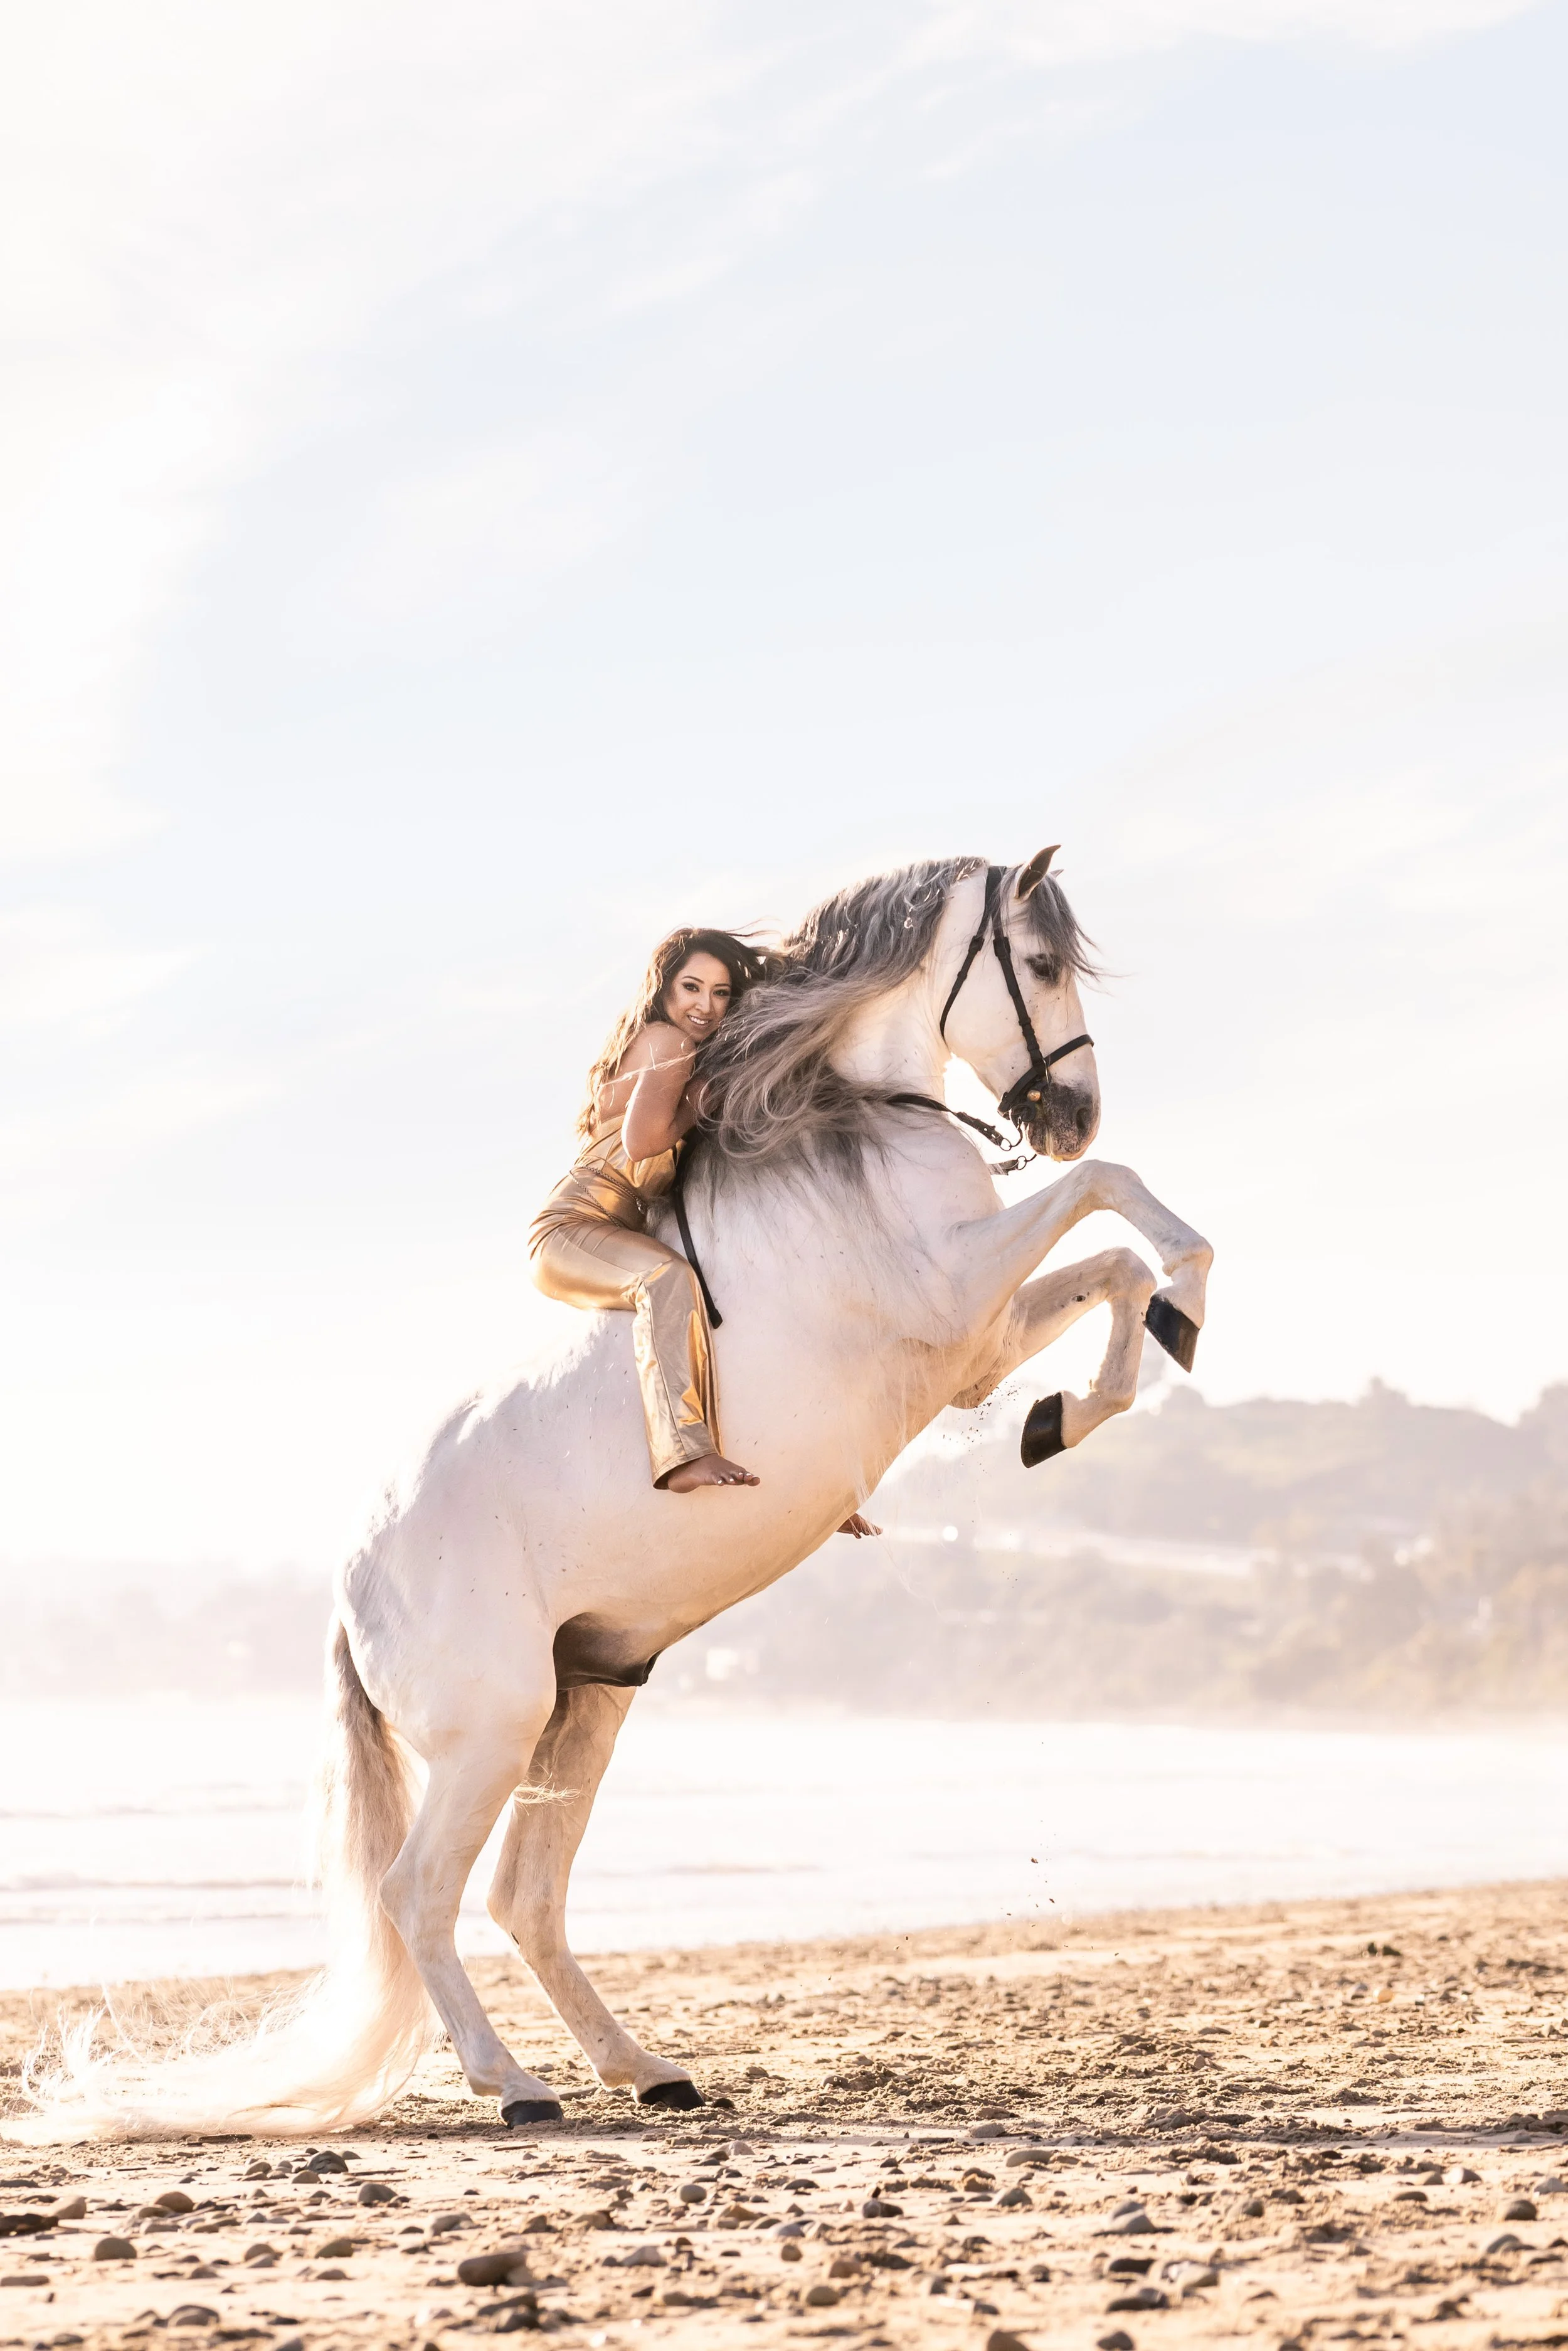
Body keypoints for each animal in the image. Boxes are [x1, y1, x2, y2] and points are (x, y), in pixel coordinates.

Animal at [14, 850, 1210, 2142]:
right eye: (1037, 963)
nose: (1070, 1113)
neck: (853, 1140)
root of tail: (354, 1585)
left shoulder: (976, 1346)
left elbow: (1116, 1271)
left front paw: (1074, 1409)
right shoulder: (957, 1294)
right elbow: (1113, 1204)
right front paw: (1179, 1300)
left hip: (584, 1703)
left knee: (523, 1897)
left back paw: (644, 2069)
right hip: (494, 1731)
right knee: (418, 1892)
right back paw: (516, 2085)